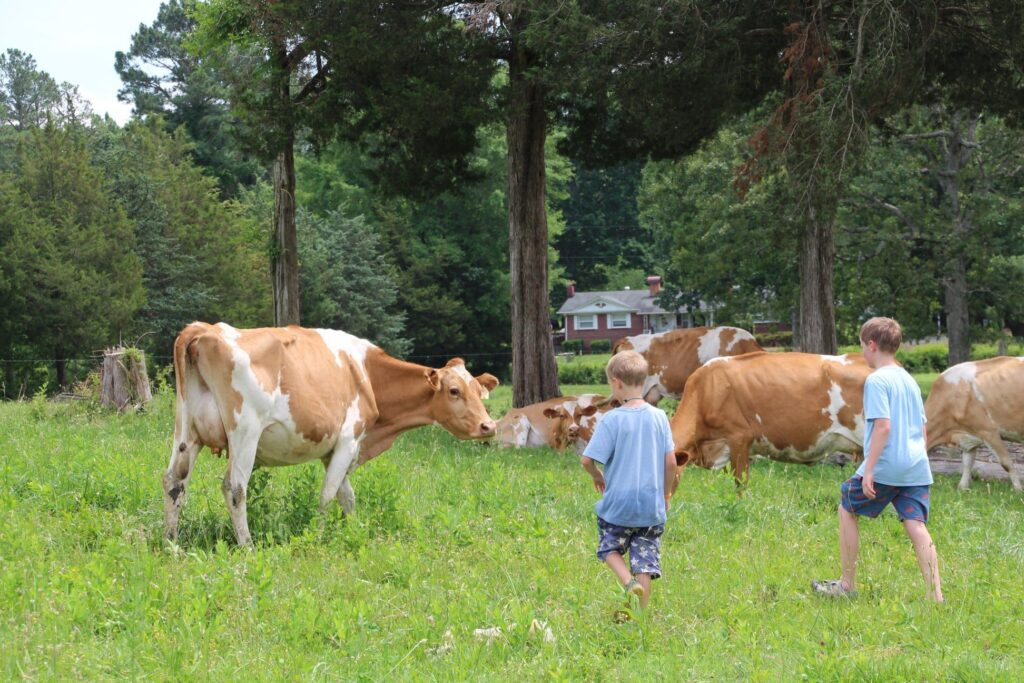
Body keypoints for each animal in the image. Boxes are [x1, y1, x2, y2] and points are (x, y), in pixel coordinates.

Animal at [164, 323, 499, 548]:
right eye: (454, 391)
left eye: (478, 390)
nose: (489, 426)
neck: (366, 372)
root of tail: (205, 329)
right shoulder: (350, 439)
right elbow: (328, 494)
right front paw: (320, 535)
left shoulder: (334, 450)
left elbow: (346, 495)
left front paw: (354, 530)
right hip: (245, 430)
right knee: (234, 488)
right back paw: (247, 545)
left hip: (186, 430)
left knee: (174, 482)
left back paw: (171, 542)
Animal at [925, 358, 1019, 491]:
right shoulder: (968, 434)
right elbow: (967, 463)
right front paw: (962, 488)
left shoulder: (989, 431)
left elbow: (1006, 463)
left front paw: (1018, 490)